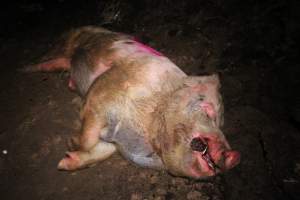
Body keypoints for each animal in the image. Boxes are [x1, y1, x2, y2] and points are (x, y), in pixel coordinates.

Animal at [23, 26, 240, 178]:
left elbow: (100, 151)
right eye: (209, 111)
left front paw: (64, 163)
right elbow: (88, 137)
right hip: (72, 40)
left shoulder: (115, 144)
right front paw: (71, 143)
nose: (235, 156)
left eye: (220, 123)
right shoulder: (101, 93)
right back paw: (26, 68)